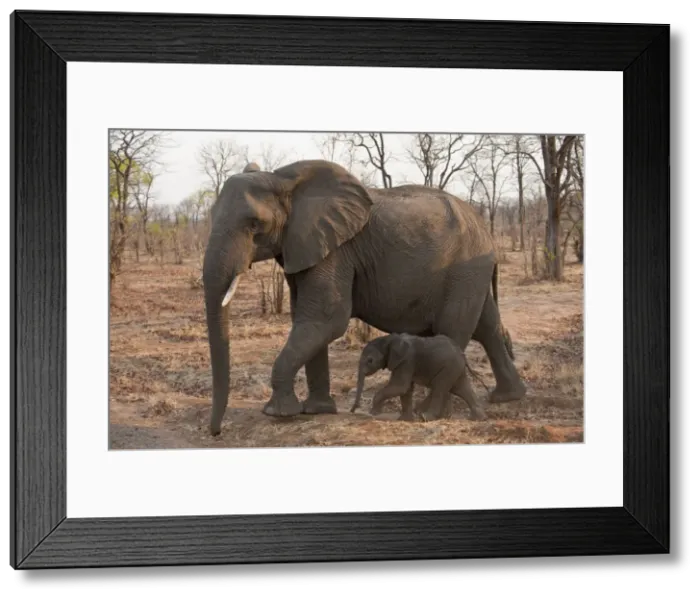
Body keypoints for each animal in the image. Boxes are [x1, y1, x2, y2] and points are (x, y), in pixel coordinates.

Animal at [350, 332, 488, 421]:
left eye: (370, 360)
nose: (353, 410)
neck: (388, 339)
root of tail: (462, 353)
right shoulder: (405, 364)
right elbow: (406, 389)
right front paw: (404, 420)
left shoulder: (406, 361)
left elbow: (400, 387)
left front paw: (374, 413)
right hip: (455, 368)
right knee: (460, 388)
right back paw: (478, 418)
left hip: (449, 367)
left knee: (439, 388)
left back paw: (425, 417)